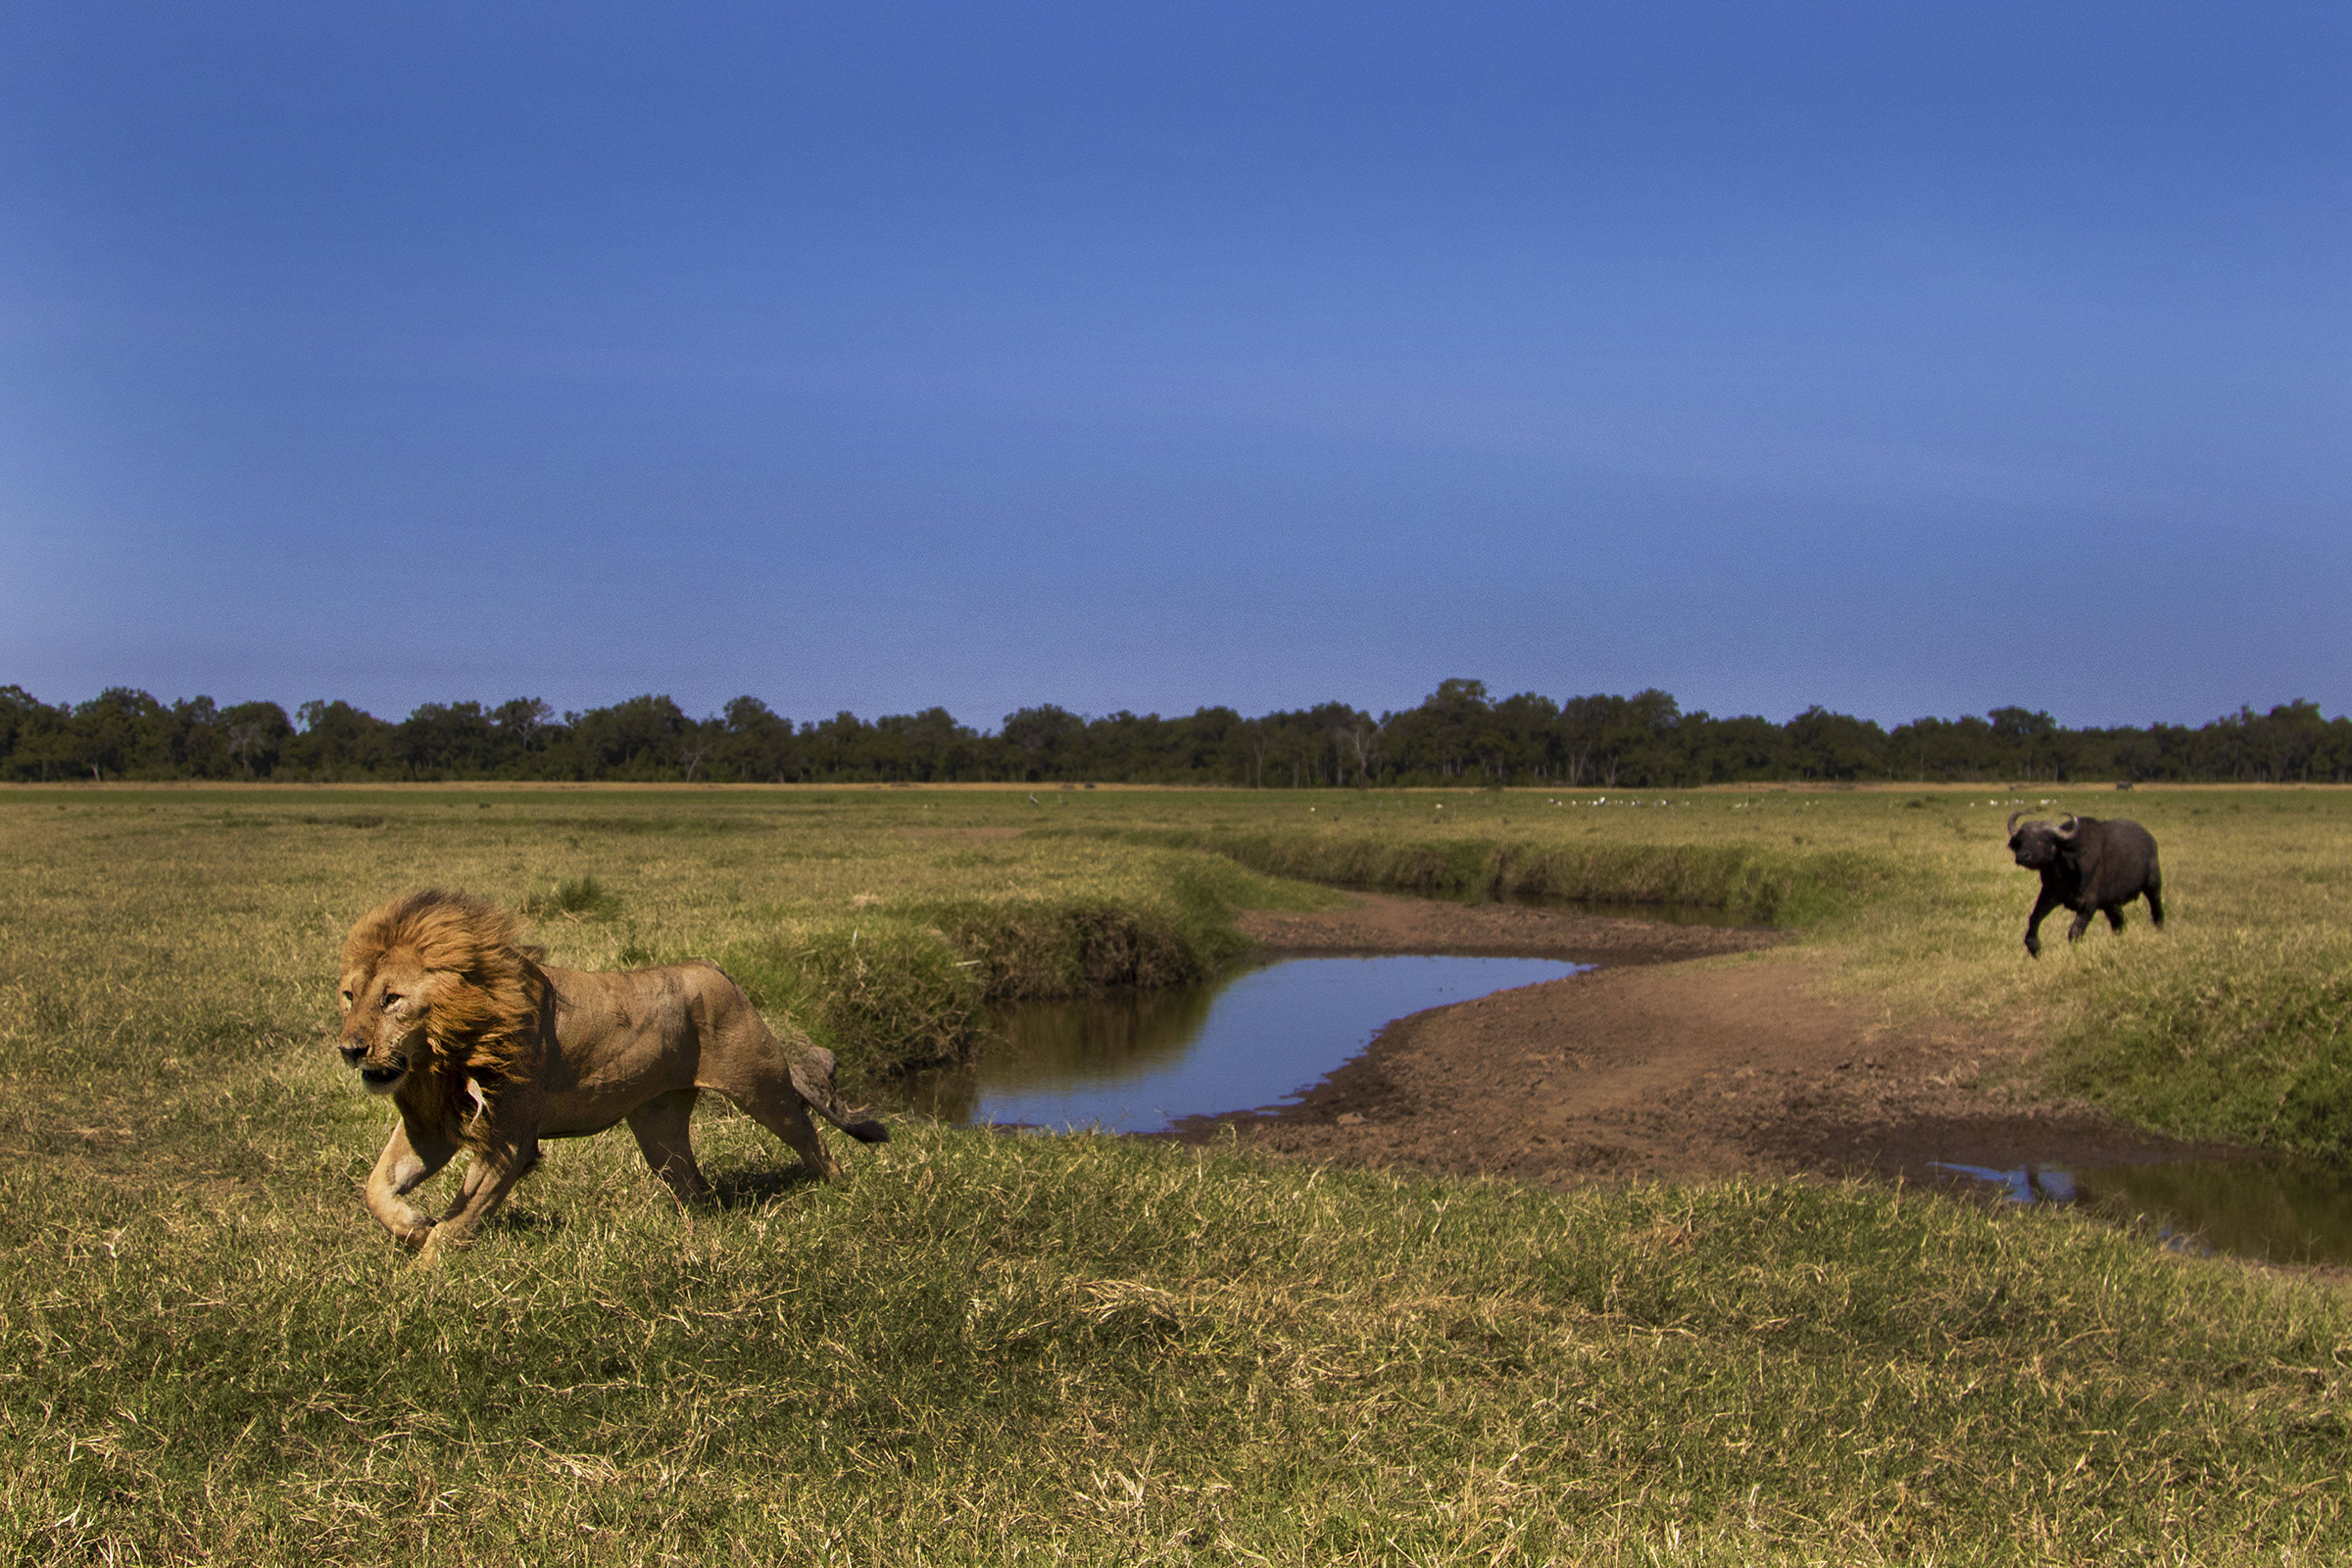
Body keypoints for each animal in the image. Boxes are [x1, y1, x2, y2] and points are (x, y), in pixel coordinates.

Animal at [334, 884, 884, 1260]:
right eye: (349, 995)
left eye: (392, 999)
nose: (350, 1049)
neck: (441, 1055)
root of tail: (714, 968)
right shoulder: (430, 1126)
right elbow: (376, 1186)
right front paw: (412, 1224)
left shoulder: (509, 1140)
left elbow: (459, 1222)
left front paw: (421, 1277)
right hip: (658, 1124)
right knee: (693, 1184)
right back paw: (692, 1234)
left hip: (760, 1085)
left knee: (811, 1136)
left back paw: (838, 1192)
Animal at [2004, 809, 2164, 959]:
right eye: (2022, 840)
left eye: (2044, 840)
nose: (2023, 856)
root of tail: (2151, 840)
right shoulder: (2050, 895)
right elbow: (2034, 920)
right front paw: (2036, 949)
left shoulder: (2088, 905)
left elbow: (2075, 932)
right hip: (2111, 904)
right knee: (2119, 923)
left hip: (2153, 886)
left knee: (2156, 909)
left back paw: (2159, 930)